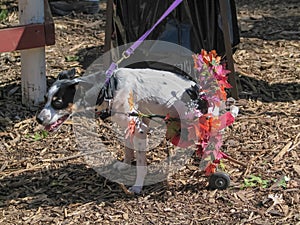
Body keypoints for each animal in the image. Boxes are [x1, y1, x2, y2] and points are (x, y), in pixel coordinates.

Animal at [36, 67, 205, 193]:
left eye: (58, 102)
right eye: (45, 99)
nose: (39, 119)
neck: (109, 89)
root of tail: (197, 88)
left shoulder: (140, 130)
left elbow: (141, 164)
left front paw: (138, 186)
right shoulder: (130, 127)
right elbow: (128, 150)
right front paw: (125, 165)